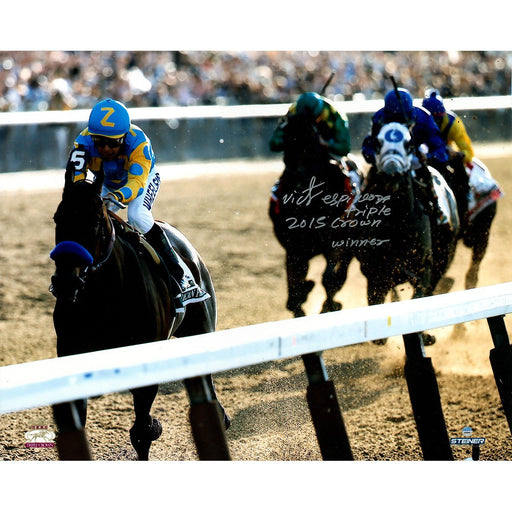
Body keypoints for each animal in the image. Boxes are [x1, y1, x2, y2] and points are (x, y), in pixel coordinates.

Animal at [50, 169, 230, 460]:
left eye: (96, 221)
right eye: (58, 218)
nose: (66, 282)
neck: (104, 296)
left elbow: (142, 432)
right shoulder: (70, 352)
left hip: (200, 327)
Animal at [268, 114, 360, 318]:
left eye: (310, 151)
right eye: (286, 153)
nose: (296, 187)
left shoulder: (335, 243)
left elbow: (328, 278)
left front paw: (329, 304)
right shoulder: (294, 249)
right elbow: (294, 286)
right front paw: (302, 296)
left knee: (340, 273)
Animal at [350, 121, 458, 344]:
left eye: (409, 144)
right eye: (378, 142)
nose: (392, 172)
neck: (397, 225)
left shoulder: (424, 269)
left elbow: (420, 295)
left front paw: (423, 335)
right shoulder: (374, 271)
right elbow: (375, 299)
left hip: (444, 257)